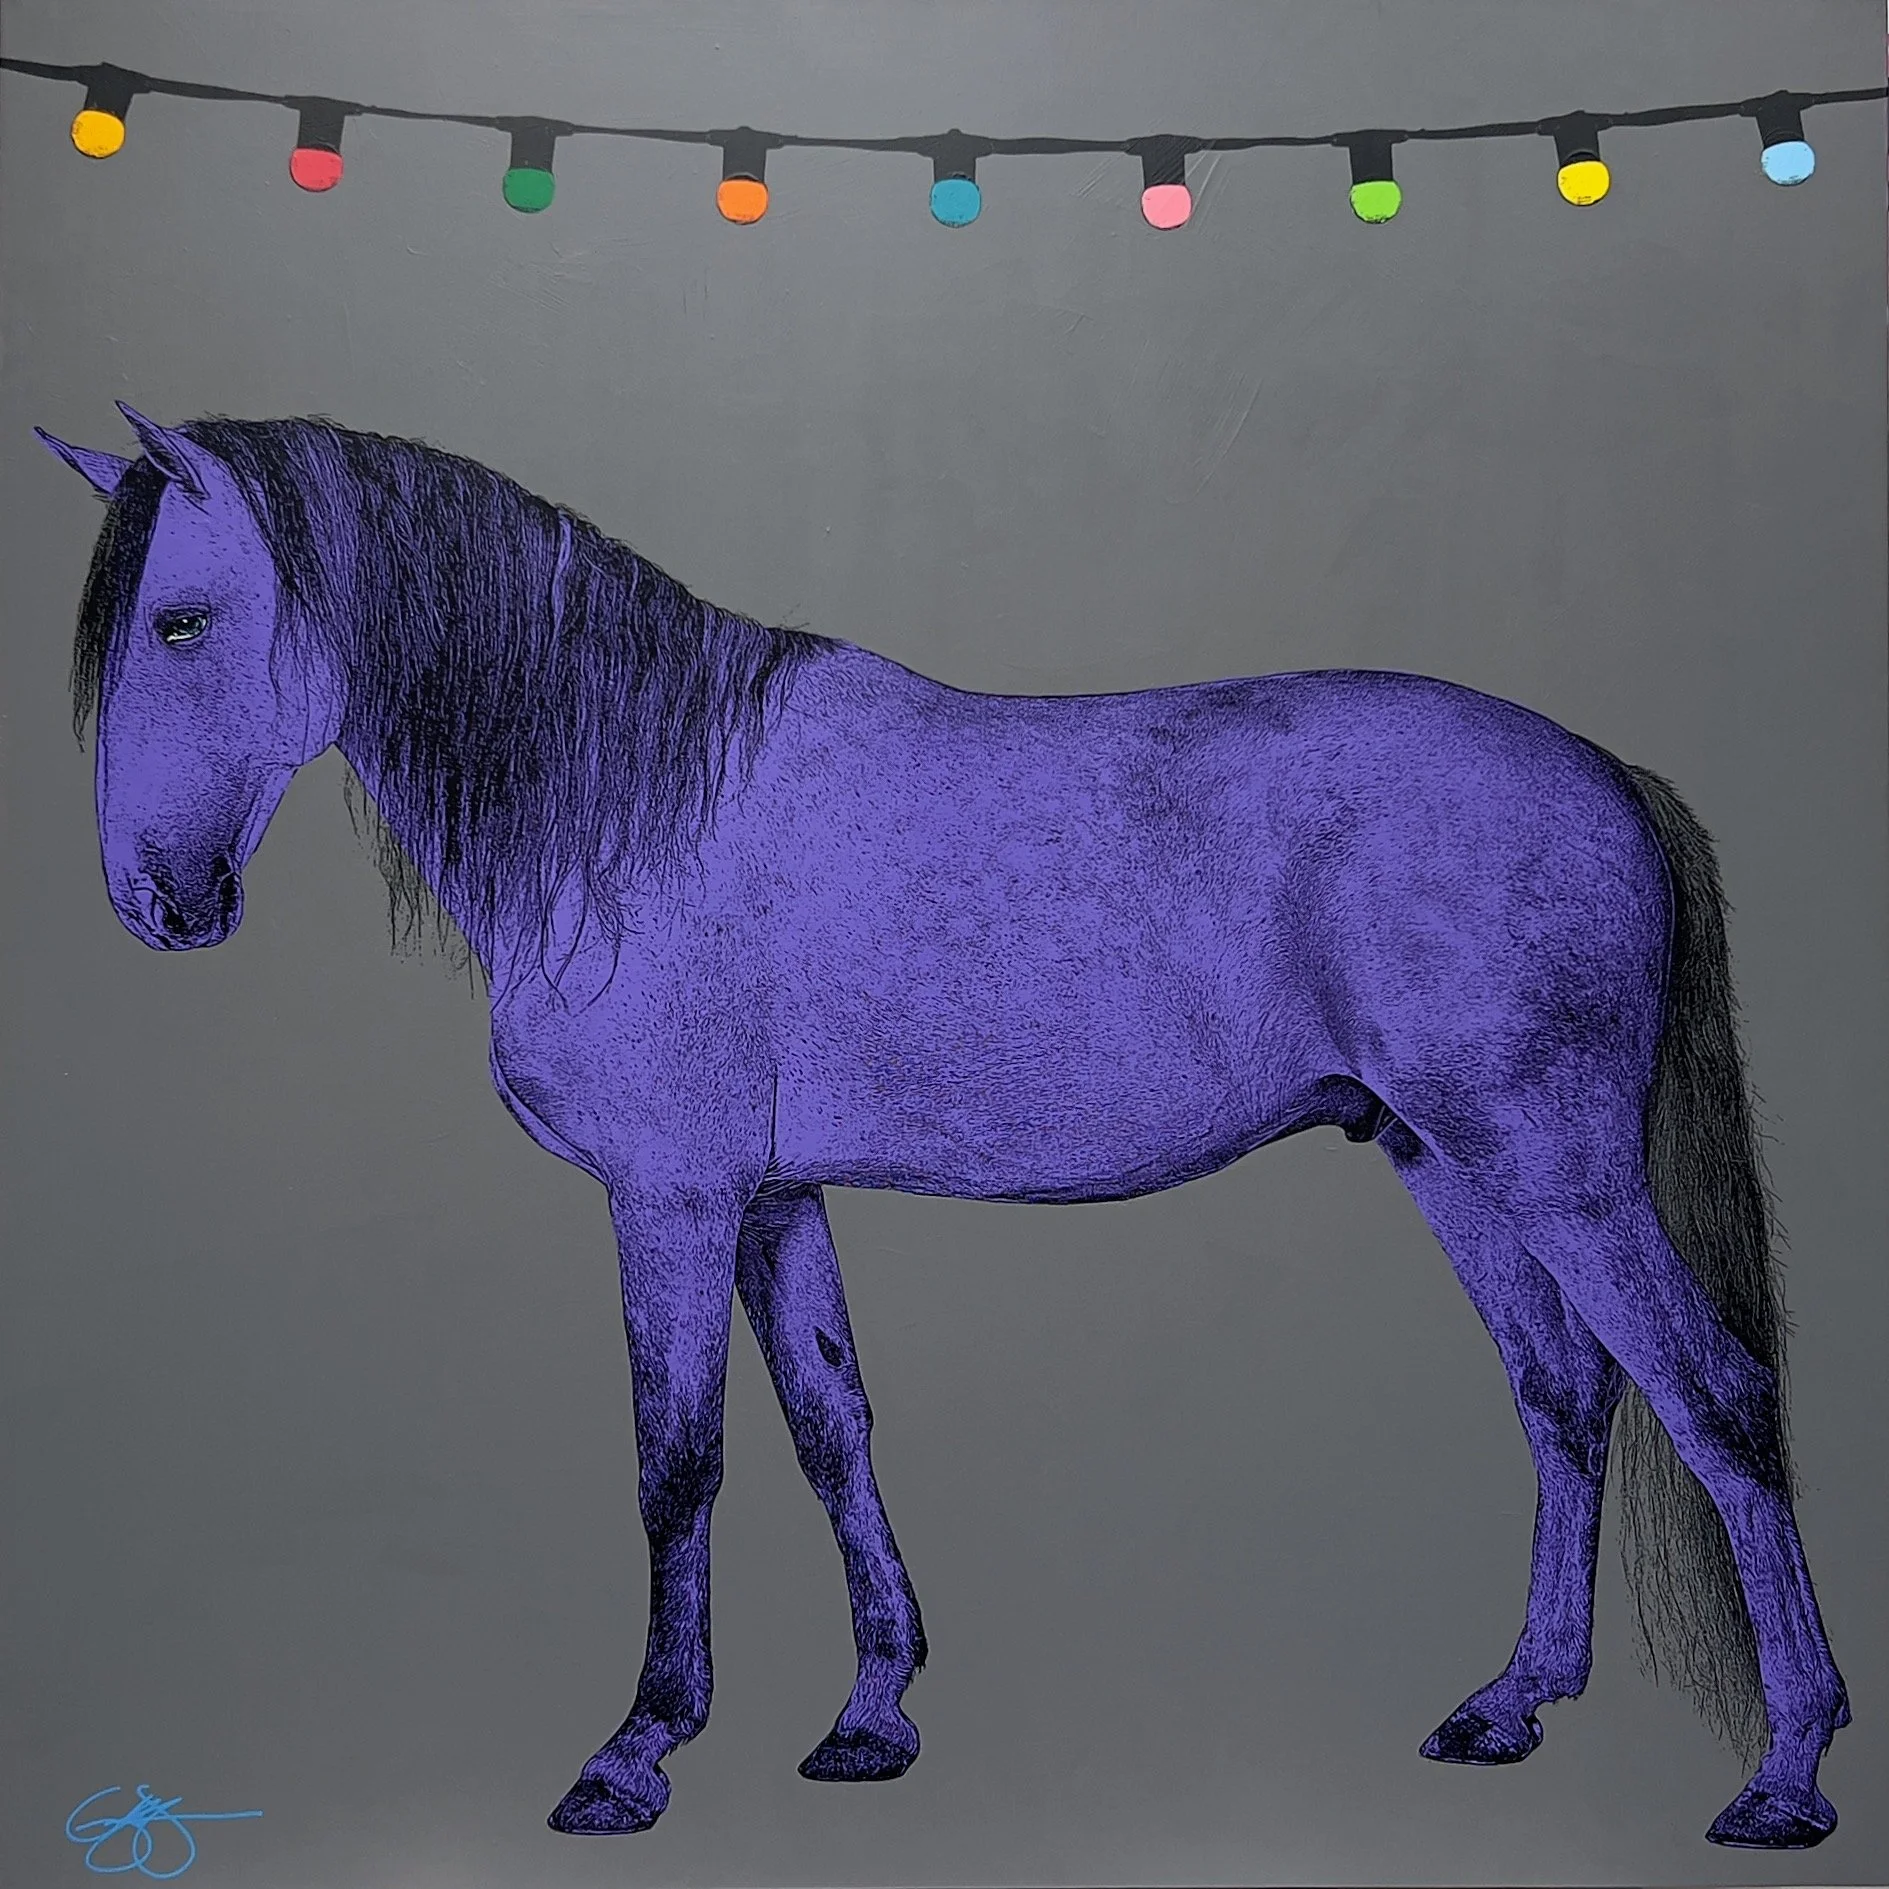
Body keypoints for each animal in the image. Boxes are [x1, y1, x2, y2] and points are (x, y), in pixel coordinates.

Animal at [35, 404, 1849, 1851]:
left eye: (182, 621)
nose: (157, 900)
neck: (638, 800)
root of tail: (1601, 769)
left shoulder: (671, 1196)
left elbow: (676, 1459)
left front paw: (635, 1751)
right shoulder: (773, 1197)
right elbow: (830, 1425)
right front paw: (869, 1715)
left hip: (1557, 1167)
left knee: (1711, 1395)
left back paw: (1783, 1774)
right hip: (1447, 1159)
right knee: (1562, 1395)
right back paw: (1508, 1701)